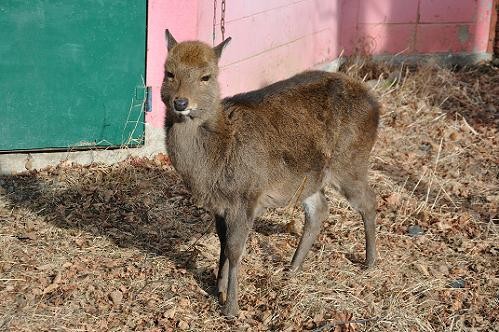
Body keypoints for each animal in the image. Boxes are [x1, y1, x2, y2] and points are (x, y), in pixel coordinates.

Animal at [162, 30, 380, 316]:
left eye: (206, 76)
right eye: (169, 72)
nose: (180, 102)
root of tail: (376, 105)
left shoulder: (246, 197)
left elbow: (235, 250)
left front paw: (231, 307)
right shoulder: (218, 204)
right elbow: (222, 243)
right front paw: (218, 289)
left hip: (350, 163)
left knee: (368, 200)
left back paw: (369, 262)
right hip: (308, 178)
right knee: (320, 209)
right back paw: (293, 267)